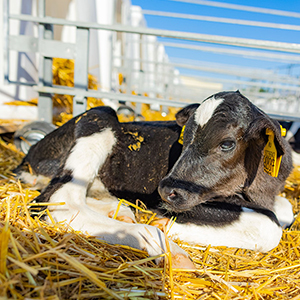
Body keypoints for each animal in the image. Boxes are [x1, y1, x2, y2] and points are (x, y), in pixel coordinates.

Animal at [14, 91, 292, 268]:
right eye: (184, 137)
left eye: (227, 143)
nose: (166, 189)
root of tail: (30, 154)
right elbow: (270, 226)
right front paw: (161, 221)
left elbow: (286, 209)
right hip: (100, 115)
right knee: (59, 200)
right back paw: (160, 243)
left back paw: (121, 211)